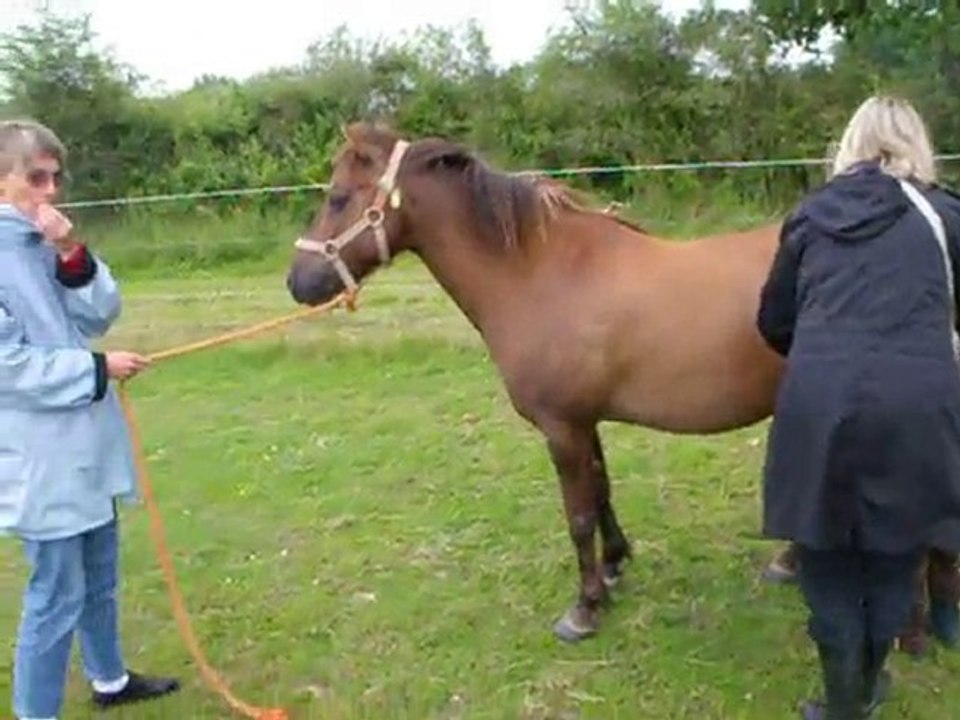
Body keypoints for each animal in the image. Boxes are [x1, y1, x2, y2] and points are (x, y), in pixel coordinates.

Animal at [285, 121, 786, 642]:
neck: (540, 274)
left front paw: (585, 608)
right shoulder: (584, 424)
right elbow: (601, 491)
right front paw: (613, 567)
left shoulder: (562, 427)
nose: (298, 282)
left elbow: (579, 516)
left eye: (339, 198)